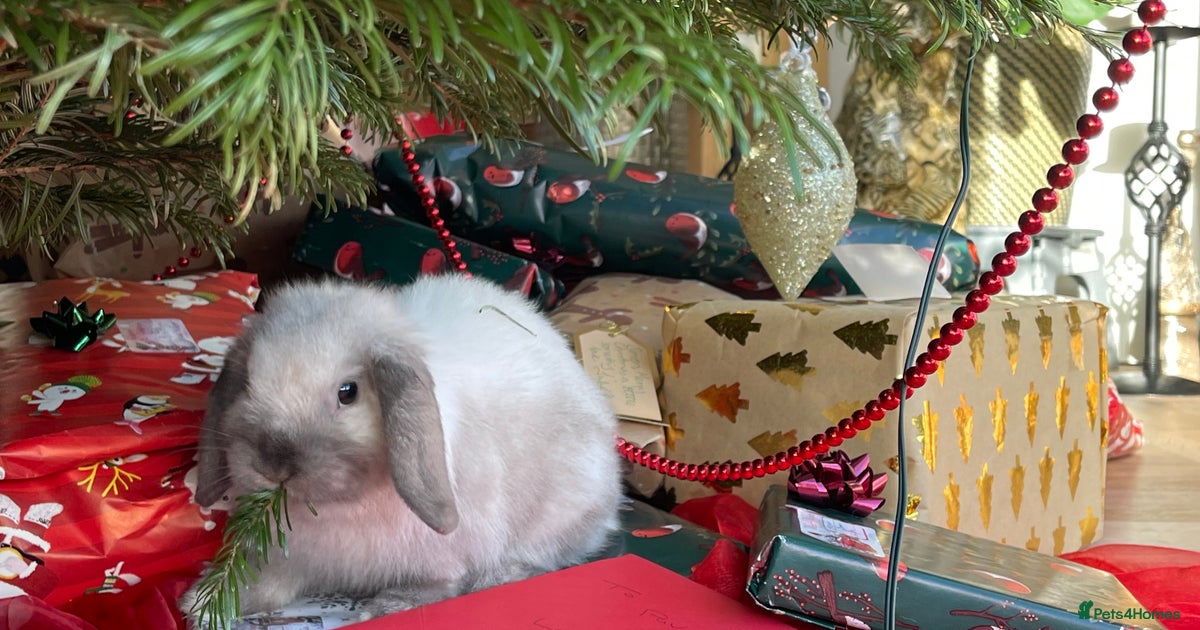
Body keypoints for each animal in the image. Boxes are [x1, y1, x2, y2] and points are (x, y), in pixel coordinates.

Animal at [180, 274, 623, 621]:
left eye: (348, 392)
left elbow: (441, 584)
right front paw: (200, 605)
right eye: (248, 384)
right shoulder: (291, 557)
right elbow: (269, 581)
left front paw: (385, 608)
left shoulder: (445, 554)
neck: (338, 509)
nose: (273, 465)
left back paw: (498, 577)